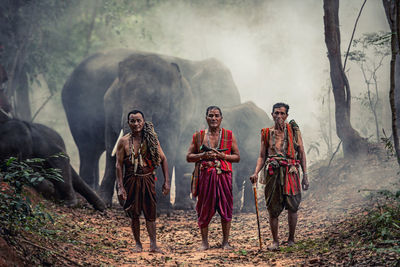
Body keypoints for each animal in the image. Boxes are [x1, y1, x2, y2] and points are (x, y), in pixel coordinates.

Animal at [60, 48, 239, 207]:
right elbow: (112, 145)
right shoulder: (110, 106)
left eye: (157, 99)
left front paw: (163, 209)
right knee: (88, 150)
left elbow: (169, 146)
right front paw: (106, 203)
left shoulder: (177, 112)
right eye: (120, 97)